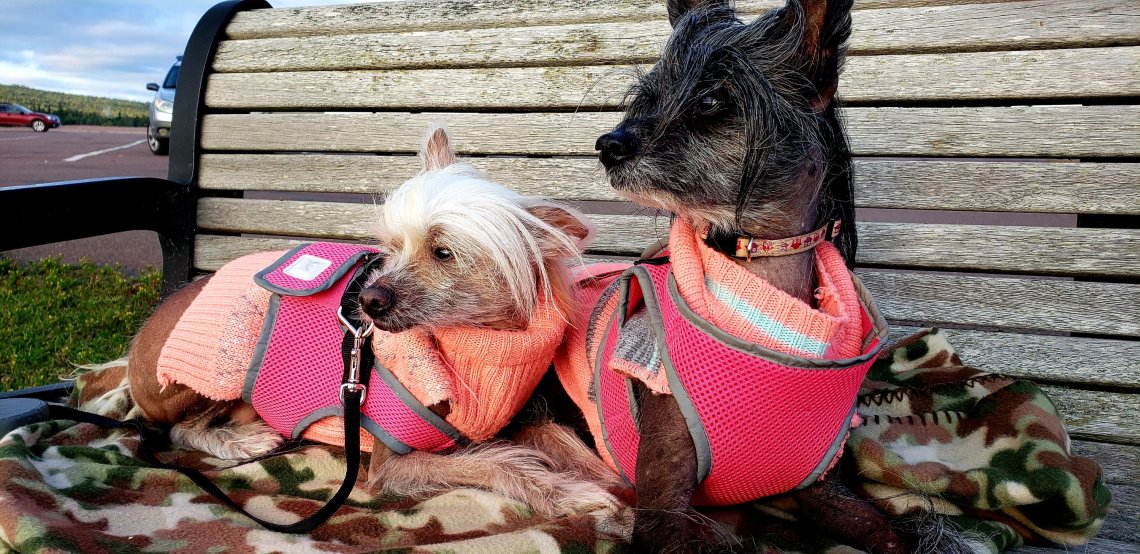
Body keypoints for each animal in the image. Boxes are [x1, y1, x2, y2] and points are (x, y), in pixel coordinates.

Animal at [126, 124, 621, 519]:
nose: (367, 300)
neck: (475, 350)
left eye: (443, 252)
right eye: (393, 246)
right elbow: (496, 463)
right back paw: (244, 442)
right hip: (218, 366)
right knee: (179, 429)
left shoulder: (517, 422)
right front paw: (568, 493)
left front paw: (603, 477)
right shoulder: (391, 463)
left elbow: (564, 440)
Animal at [531, 0, 969, 552]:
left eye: (712, 100)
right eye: (649, 99)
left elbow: (892, 533)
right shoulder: (661, 510)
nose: (608, 144)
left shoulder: (826, 493)